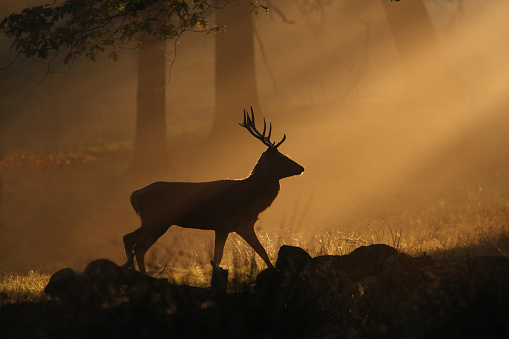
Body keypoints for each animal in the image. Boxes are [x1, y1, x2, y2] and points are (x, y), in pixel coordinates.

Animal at [122, 107, 302, 274]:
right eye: (281, 158)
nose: (301, 168)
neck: (250, 198)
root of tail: (135, 195)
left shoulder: (238, 225)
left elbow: (258, 252)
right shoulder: (228, 224)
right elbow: (226, 256)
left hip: (156, 222)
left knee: (135, 243)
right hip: (155, 220)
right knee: (132, 242)